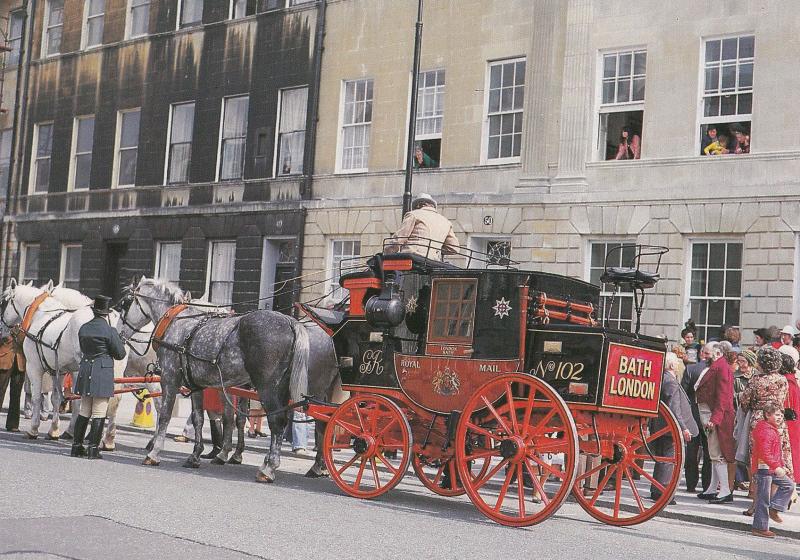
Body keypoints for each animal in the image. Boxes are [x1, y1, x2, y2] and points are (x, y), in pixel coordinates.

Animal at [122, 276, 310, 482]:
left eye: (125, 303)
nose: (120, 334)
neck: (177, 323)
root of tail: (290, 321)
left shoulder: (169, 379)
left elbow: (164, 415)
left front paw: (154, 452)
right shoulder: (195, 385)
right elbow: (198, 418)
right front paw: (194, 456)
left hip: (267, 387)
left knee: (276, 422)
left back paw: (268, 468)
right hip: (281, 388)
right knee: (278, 422)